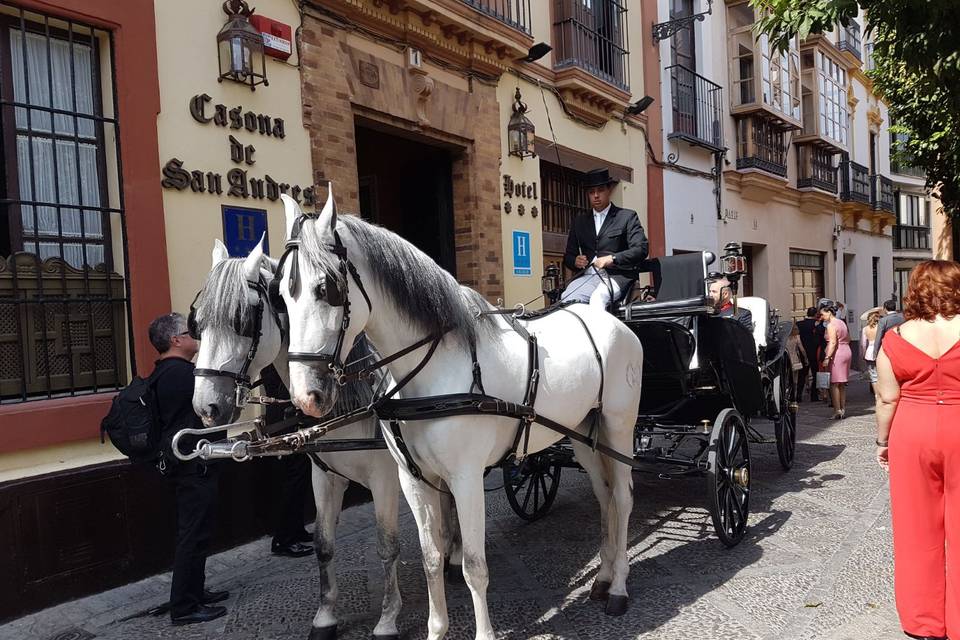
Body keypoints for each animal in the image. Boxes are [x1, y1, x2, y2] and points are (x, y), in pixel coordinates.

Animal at [191, 240, 404, 640]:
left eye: (242, 321)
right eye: (196, 324)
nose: (206, 407)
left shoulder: (386, 476)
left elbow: (386, 545)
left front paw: (387, 619)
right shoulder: (324, 474)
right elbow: (323, 544)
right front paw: (325, 617)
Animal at [274, 191, 640, 640]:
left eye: (326, 289)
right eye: (281, 295)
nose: (306, 396)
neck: (432, 370)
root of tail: (607, 318)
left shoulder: (465, 479)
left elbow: (473, 566)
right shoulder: (414, 481)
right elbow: (432, 558)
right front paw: (436, 629)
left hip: (619, 427)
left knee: (622, 497)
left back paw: (619, 587)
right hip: (582, 431)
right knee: (604, 497)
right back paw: (603, 577)